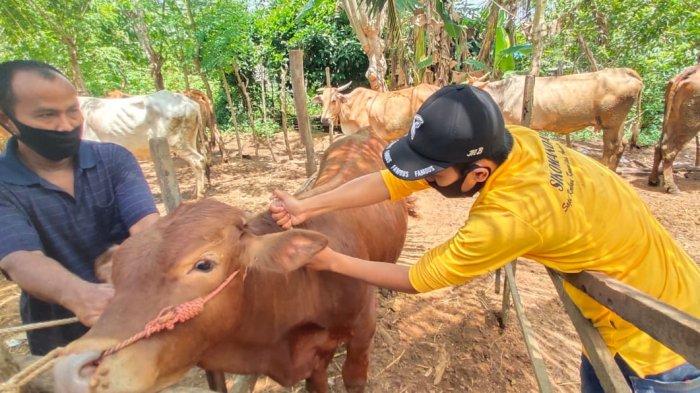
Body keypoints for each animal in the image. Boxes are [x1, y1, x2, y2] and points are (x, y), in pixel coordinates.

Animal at [54, 132, 408, 392]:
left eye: (204, 265)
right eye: (116, 275)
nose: (72, 369)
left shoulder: (362, 331)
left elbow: (355, 379)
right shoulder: (312, 360)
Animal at [474, 68, 644, 169]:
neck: (503, 94)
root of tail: (625, 71)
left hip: (611, 122)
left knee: (611, 147)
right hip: (618, 122)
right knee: (622, 144)